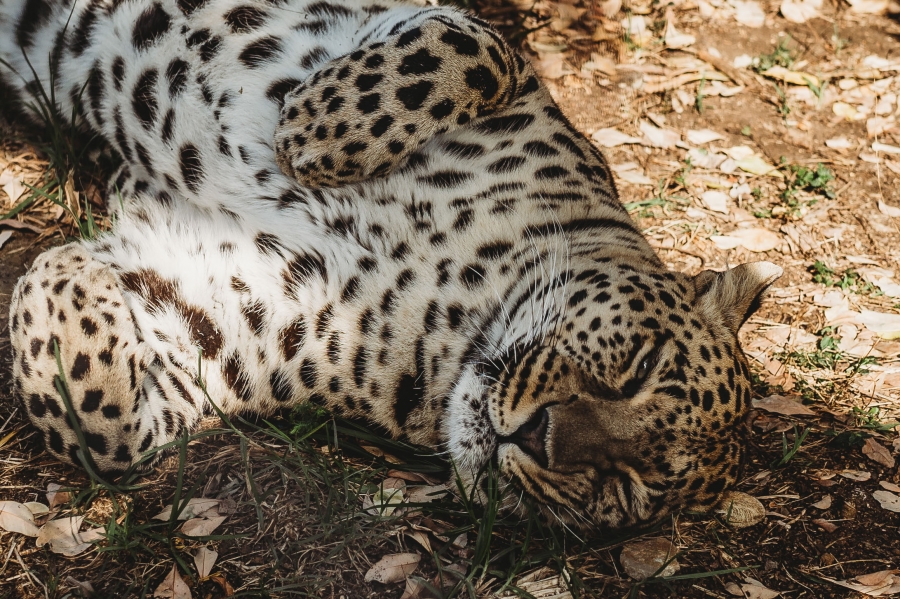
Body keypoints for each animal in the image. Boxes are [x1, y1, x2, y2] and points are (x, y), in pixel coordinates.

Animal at [1, 0, 780, 528]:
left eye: (622, 487)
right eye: (640, 366)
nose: (535, 436)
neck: (459, 307)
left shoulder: (209, 325)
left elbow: (102, 428)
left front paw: (67, 269)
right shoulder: (442, 35)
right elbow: (477, 45)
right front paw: (313, 131)